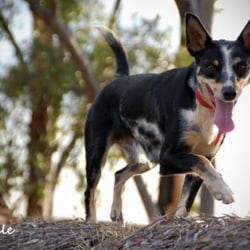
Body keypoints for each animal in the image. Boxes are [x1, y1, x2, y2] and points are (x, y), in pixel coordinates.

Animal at [84, 13, 250, 223]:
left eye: (241, 66)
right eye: (211, 66)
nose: (230, 92)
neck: (200, 105)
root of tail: (118, 79)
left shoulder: (203, 157)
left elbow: (186, 201)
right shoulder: (168, 157)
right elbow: (200, 163)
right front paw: (223, 190)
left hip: (144, 159)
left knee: (119, 174)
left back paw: (116, 213)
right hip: (97, 154)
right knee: (89, 190)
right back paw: (91, 221)